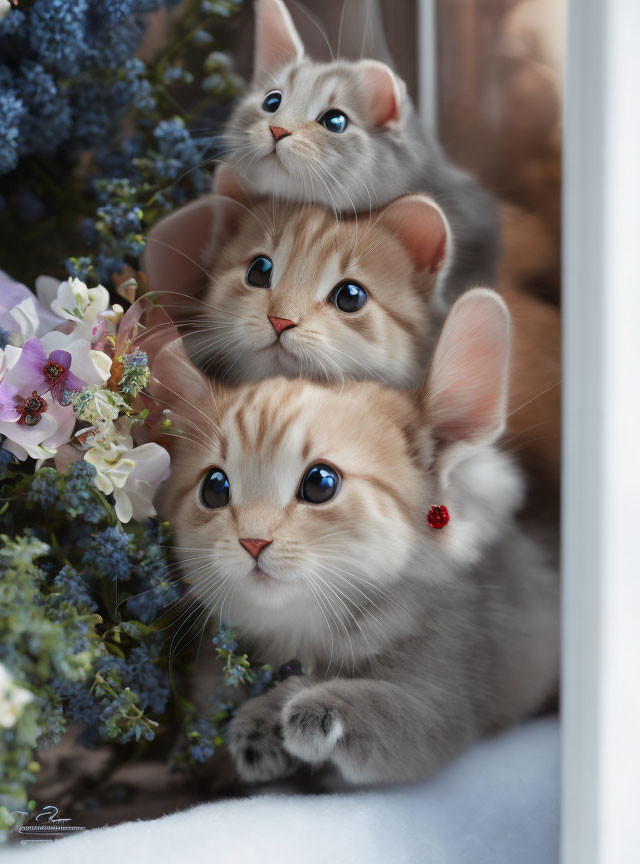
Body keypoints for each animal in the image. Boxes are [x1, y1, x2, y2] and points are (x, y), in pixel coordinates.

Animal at [149, 288, 556, 784]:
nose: (253, 542)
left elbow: (399, 715)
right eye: (214, 488)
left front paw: (300, 706)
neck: (303, 634)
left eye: (321, 483)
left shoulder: (446, 695)